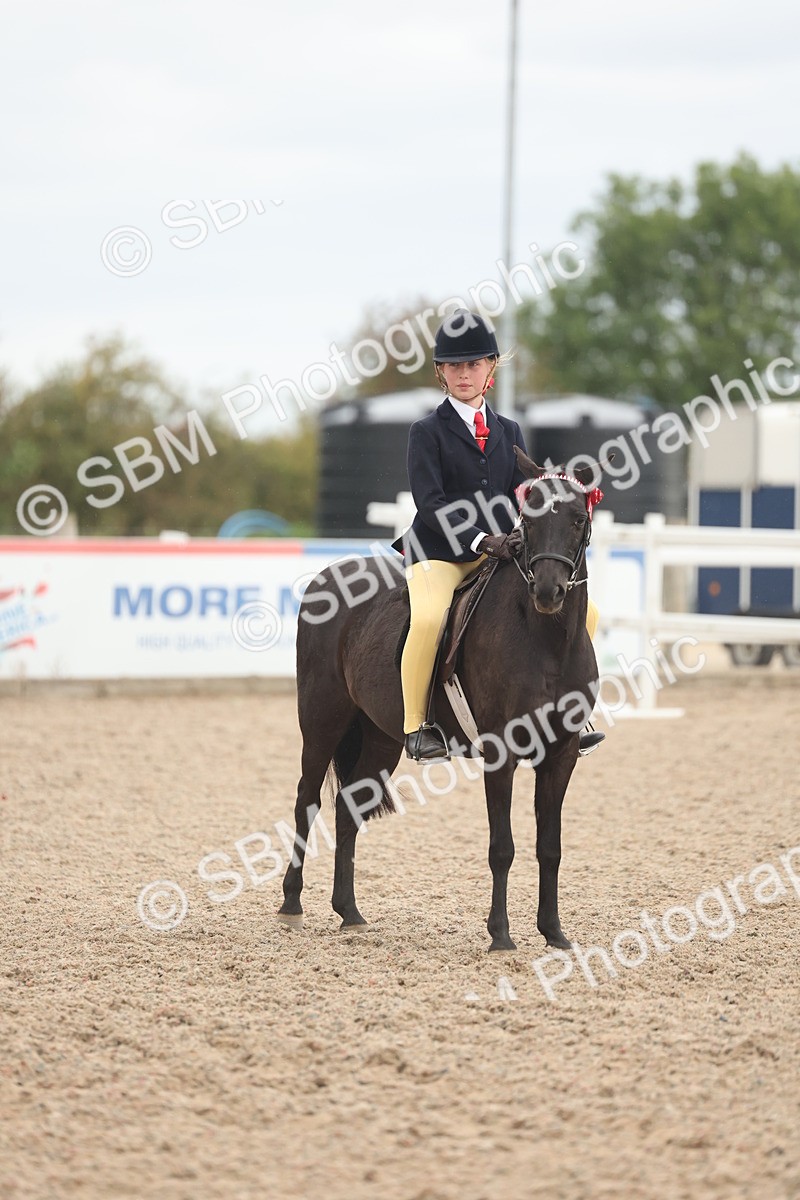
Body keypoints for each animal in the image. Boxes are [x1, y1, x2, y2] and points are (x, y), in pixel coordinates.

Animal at [277, 447, 604, 951]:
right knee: (306, 802)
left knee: (348, 809)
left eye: (577, 519)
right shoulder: (502, 751)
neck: (546, 638)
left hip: (380, 739)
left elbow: (550, 847)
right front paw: (501, 936)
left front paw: (554, 933)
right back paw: (292, 905)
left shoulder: (561, 753)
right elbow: (502, 847)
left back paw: (350, 912)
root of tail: (326, 578)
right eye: (527, 521)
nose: (547, 592)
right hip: (321, 724)